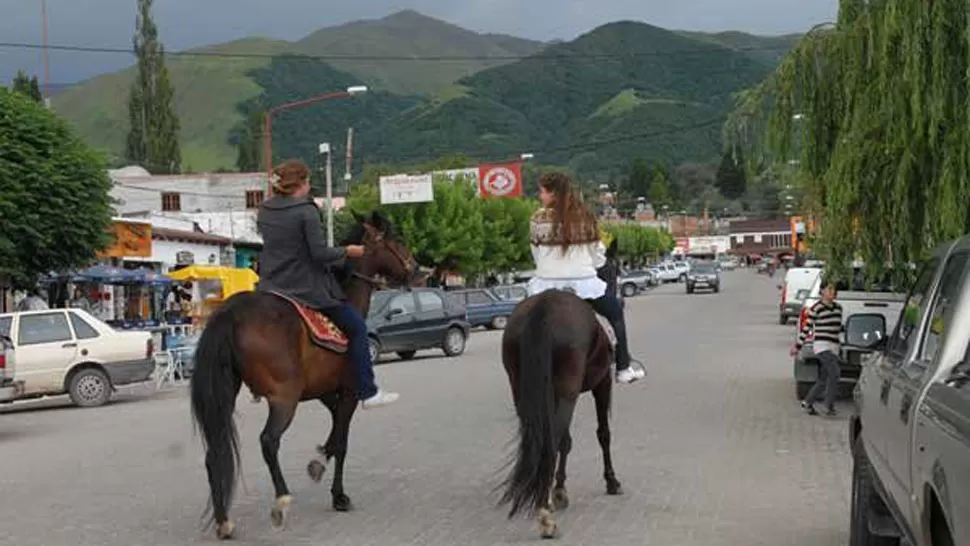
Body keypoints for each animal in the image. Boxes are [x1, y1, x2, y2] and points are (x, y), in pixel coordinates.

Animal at [188, 210, 416, 536]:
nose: (418, 269)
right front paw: (338, 494)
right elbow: (342, 440)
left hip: (227, 394)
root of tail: (231, 313)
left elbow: (335, 434)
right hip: (285, 397)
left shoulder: (325, 393)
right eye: (396, 239)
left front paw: (319, 462)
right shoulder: (348, 392)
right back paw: (281, 501)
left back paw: (224, 521)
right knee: (268, 441)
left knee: (214, 452)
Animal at [496, 284, 624, 536]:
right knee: (551, 442)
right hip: (568, 390)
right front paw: (611, 481)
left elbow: (567, 440)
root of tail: (544, 306)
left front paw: (560, 488)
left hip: (522, 389)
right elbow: (603, 433)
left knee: (538, 439)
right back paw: (544, 513)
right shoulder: (602, 382)